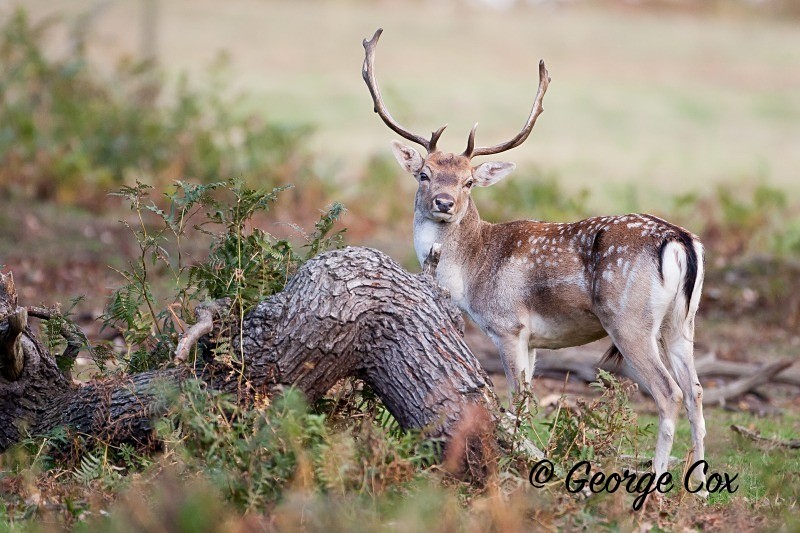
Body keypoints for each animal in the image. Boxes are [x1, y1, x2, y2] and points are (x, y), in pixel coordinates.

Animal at [361, 28, 707, 490]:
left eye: (469, 181)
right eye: (424, 173)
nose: (444, 202)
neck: (471, 273)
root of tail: (680, 240)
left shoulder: (507, 324)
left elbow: (518, 398)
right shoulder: (537, 340)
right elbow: (525, 398)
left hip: (629, 320)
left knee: (669, 393)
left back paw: (657, 484)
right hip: (681, 323)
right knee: (696, 391)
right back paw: (700, 489)